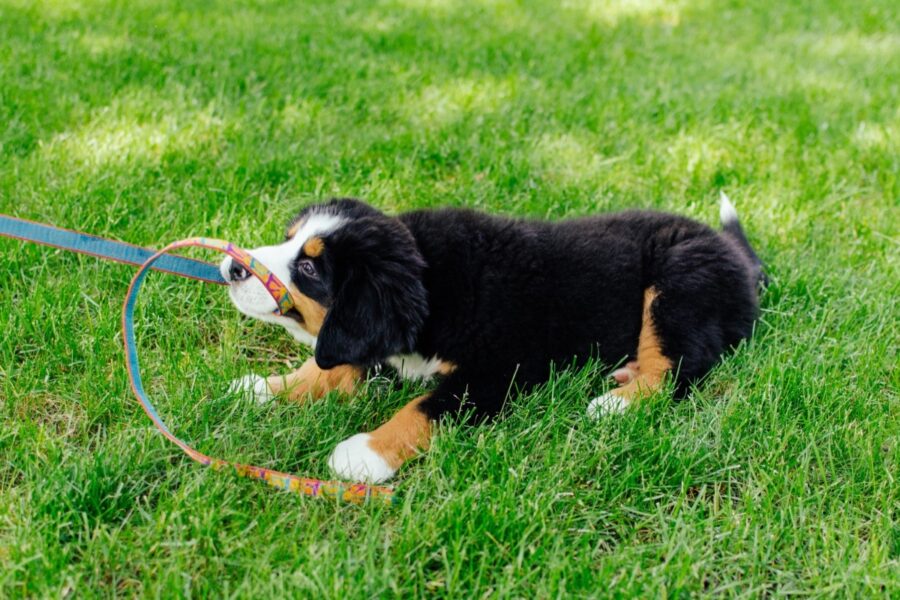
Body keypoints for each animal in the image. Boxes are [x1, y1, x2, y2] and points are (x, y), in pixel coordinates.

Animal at [221, 195, 764, 486]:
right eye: (288, 238)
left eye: (310, 268)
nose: (230, 266)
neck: (433, 282)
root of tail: (732, 253)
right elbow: (329, 366)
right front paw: (265, 388)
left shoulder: (497, 372)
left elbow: (425, 408)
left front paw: (365, 453)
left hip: (676, 284)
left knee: (681, 363)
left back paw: (618, 402)